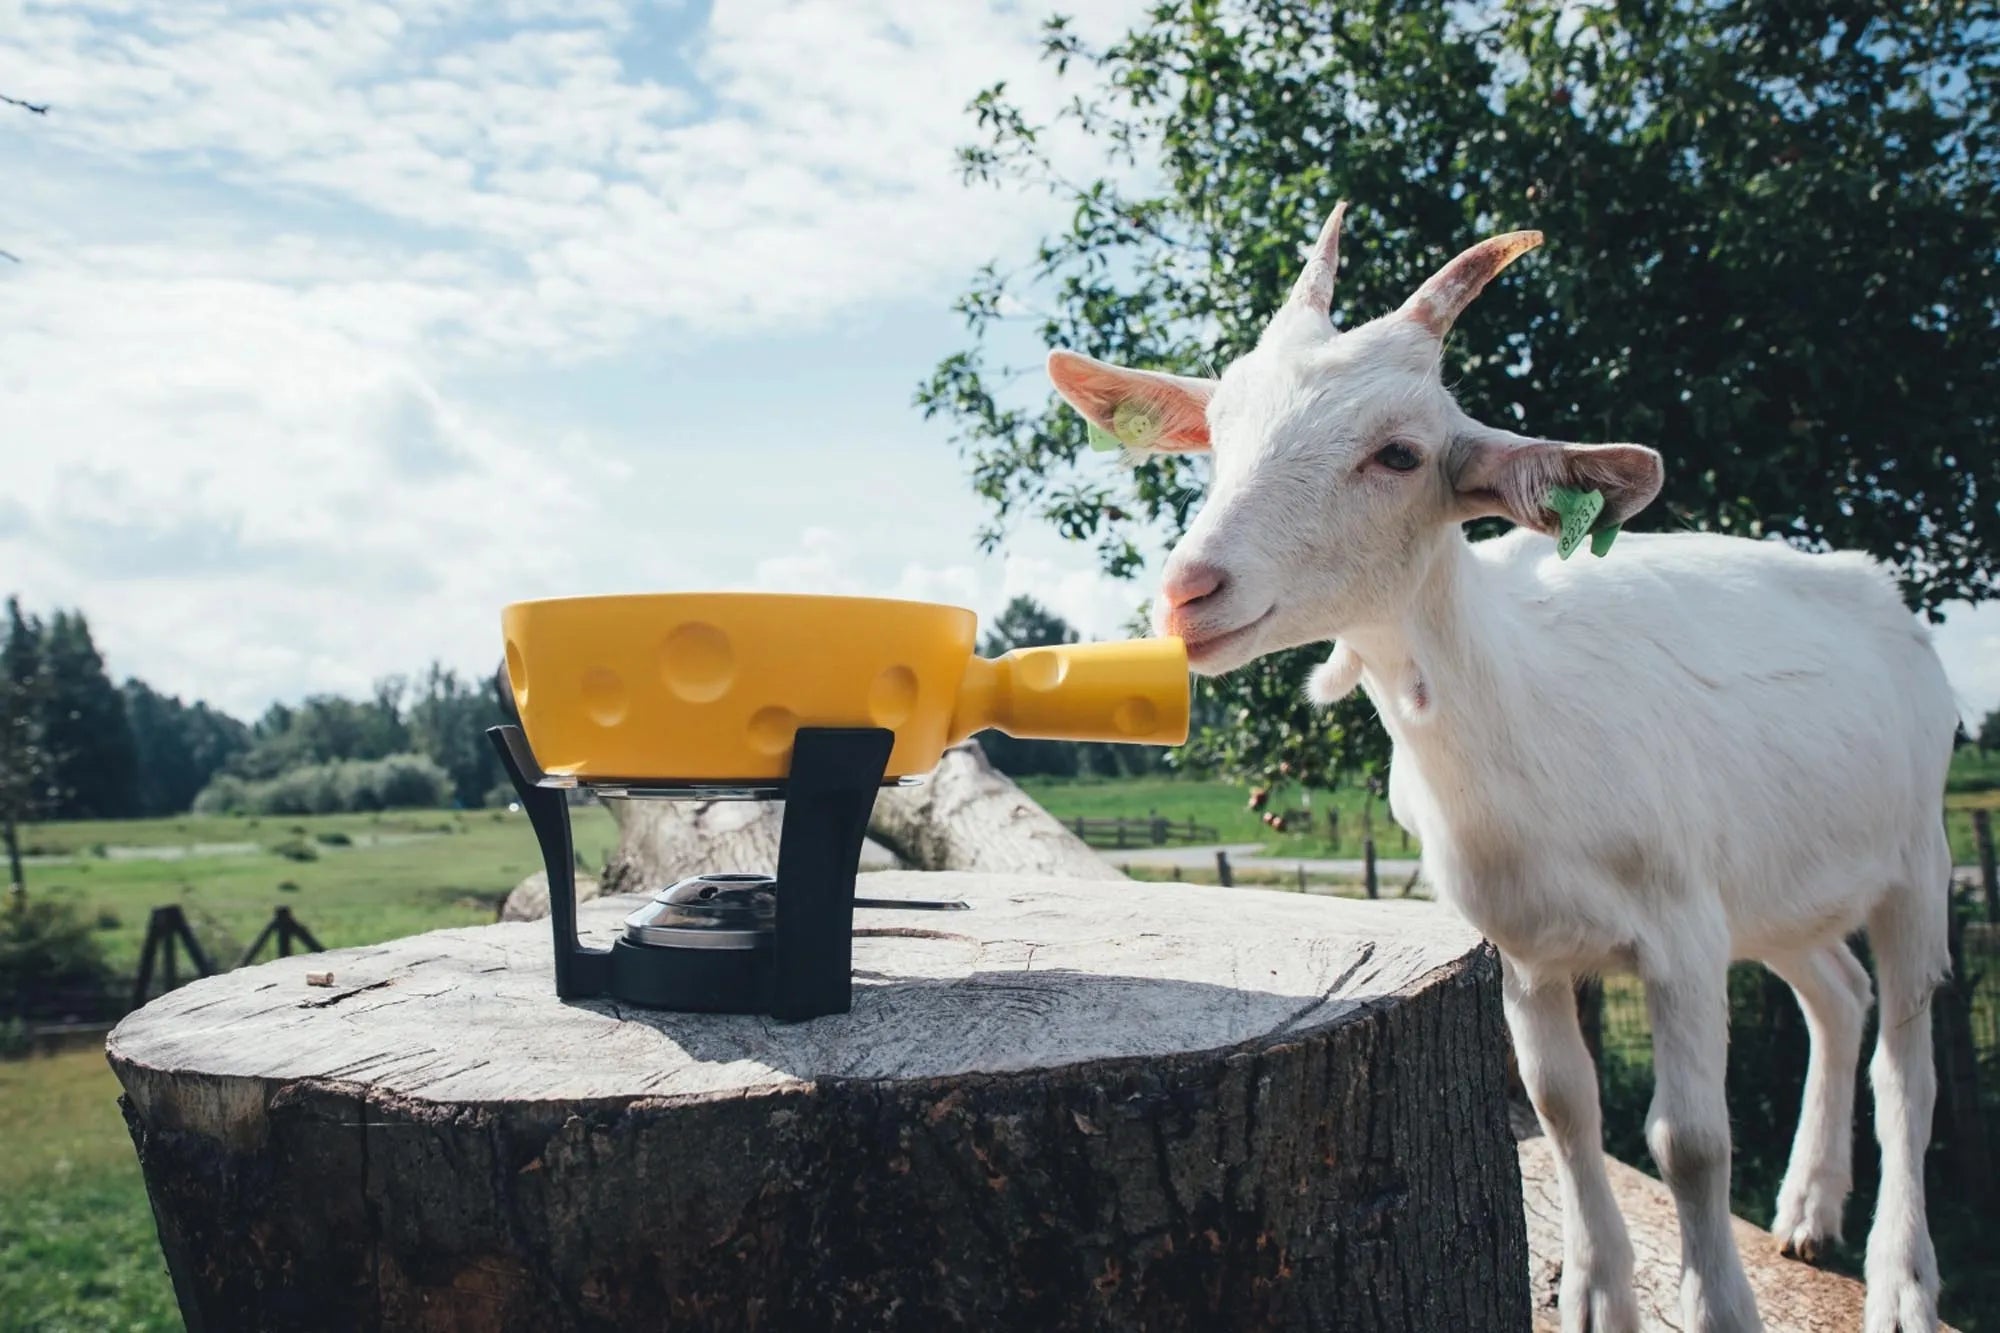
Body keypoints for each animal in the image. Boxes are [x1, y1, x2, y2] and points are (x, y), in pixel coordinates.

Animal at [1048, 205, 1952, 1328]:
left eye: (1398, 452)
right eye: (1214, 436)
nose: (1188, 591)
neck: (1523, 724)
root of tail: (1881, 595)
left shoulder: (1683, 931)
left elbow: (1689, 1143)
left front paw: (1717, 1305)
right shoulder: (1523, 950)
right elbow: (1564, 1110)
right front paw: (1596, 1294)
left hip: (1915, 854)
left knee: (1905, 1061)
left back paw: (1899, 1278)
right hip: (1778, 880)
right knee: (1834, 991)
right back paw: (1806, 1209)